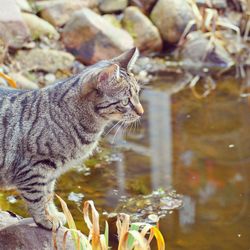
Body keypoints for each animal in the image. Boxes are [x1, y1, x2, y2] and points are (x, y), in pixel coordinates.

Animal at [0, 47, 144, 229]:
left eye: (138, 94)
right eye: (126, 101)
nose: (142, 112)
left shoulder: (49, 173)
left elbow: (48, 194)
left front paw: (53, 214)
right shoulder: (34, 169)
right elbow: (38, 197)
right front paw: (45, 218)